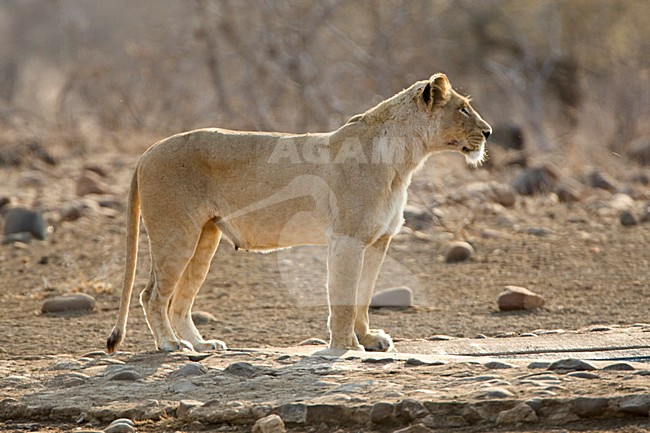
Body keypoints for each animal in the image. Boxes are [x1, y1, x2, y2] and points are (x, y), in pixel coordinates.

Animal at [106, 73, 491, 354]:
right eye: (462, 109)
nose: (488, 132)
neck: (405, 161)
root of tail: (146, 152)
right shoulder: (347, 238)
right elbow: (344, 296)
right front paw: (347, 347)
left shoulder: (379, 240)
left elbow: (364, 296)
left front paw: (368, 340)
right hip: (177, 234)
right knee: (152, 295)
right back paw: (170, 344)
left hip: (205, 237)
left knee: (180, 301)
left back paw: (202, 344)